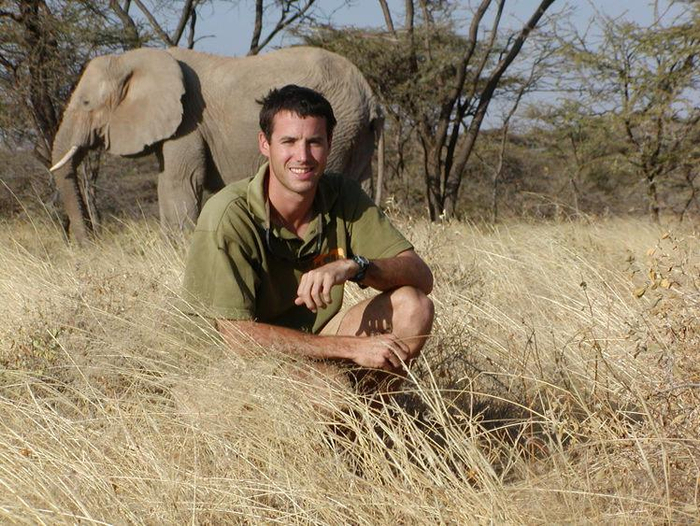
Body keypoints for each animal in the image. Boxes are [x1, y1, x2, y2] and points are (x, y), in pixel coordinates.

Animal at [50, 46, 383, 243]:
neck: (136, 57)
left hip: (339, 129)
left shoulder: (188, 121)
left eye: (86, 103)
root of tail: (370, 95)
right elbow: (171, 182)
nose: (88, 244)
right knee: (359, 185)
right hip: (355, 134)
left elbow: (179, 182)